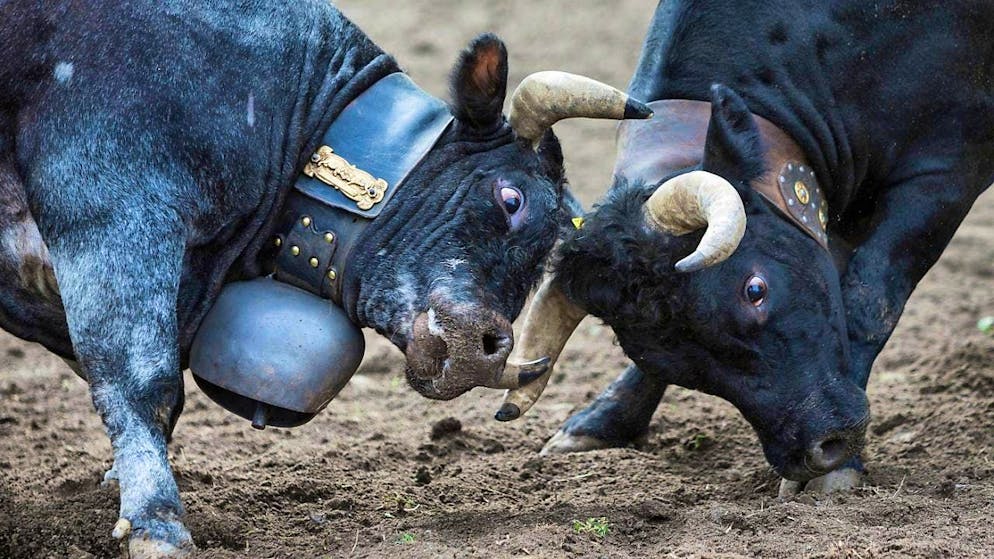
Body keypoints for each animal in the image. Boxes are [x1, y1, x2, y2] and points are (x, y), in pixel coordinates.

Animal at [495, 0, 994, 496]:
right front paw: (599, 423)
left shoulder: (943, 175)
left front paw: (840, 468)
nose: (820, 447)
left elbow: (868, 301)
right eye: (663, 356)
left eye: (755, 289)